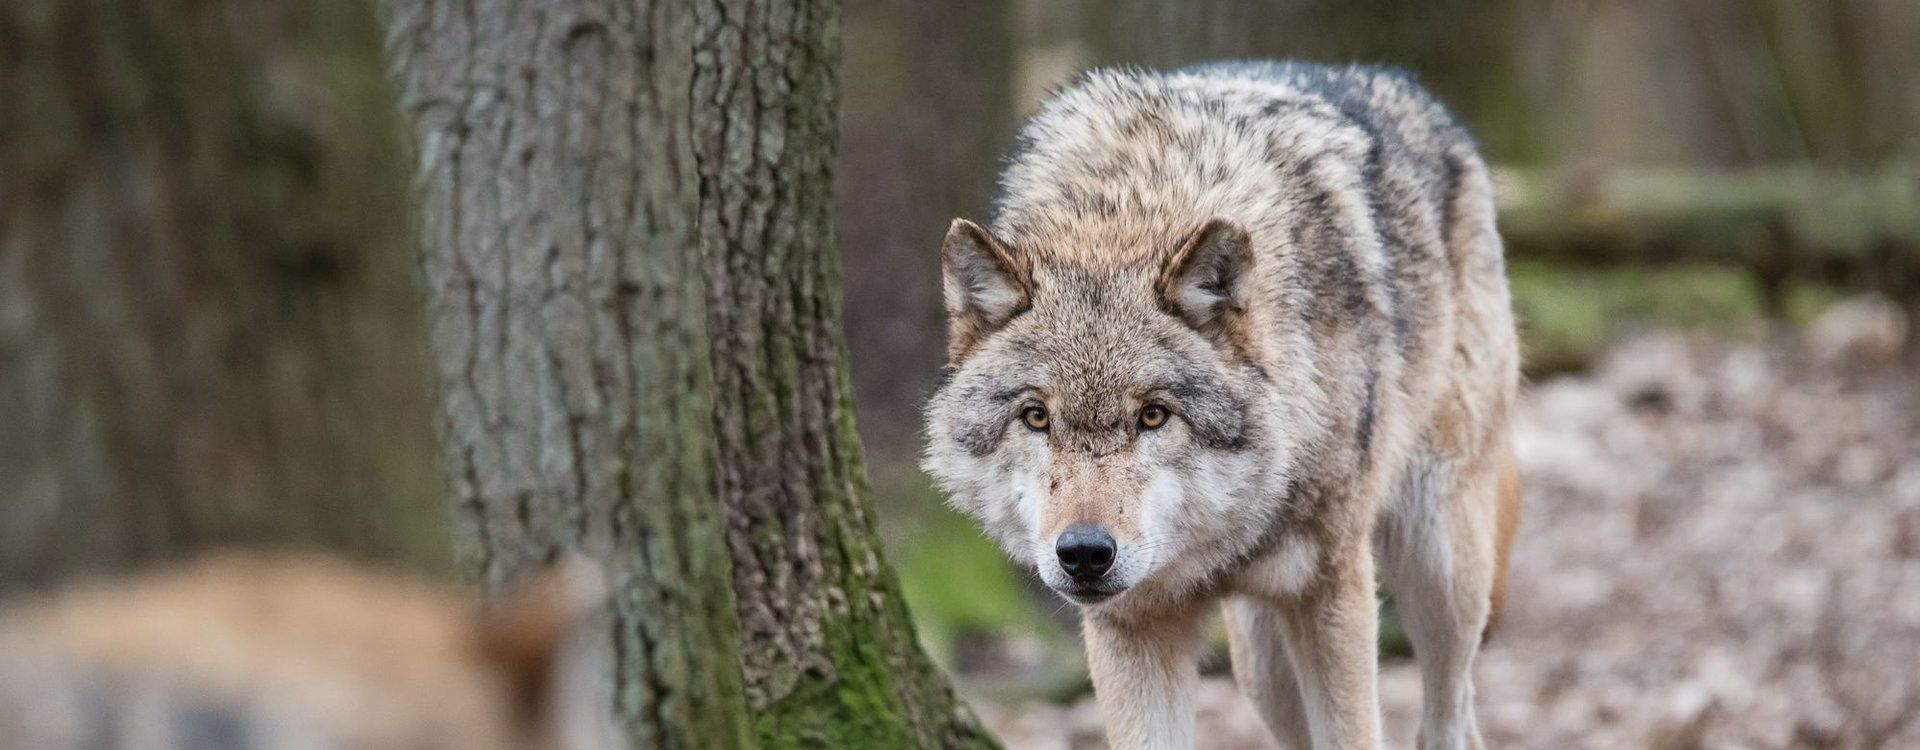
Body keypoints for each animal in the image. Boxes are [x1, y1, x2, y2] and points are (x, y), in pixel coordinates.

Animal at [921, 63, 1520, 750]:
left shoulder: (1332, 589)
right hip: (1262, 665)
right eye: (1036, 417)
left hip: (1438, 564)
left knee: (1452, 713)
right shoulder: (1131, 627)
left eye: (1154, 414)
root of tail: (1404, 85)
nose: (1085, 554)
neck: (1129, 206)